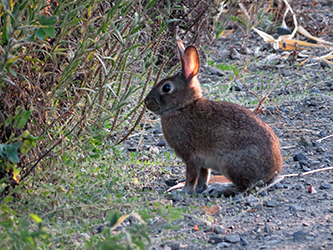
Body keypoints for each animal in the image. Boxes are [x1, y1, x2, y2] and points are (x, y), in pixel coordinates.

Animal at [144, 40, 282, 196]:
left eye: (166, 88)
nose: (146, 102)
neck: (183, 107)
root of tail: (271, 174)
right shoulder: (203, 162)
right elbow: (203, 175)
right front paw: (200, 189)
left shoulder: (192, 157)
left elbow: (191, 176)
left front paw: (184, 191)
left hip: (231, 164)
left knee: (244, 189)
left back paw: (220, 188)